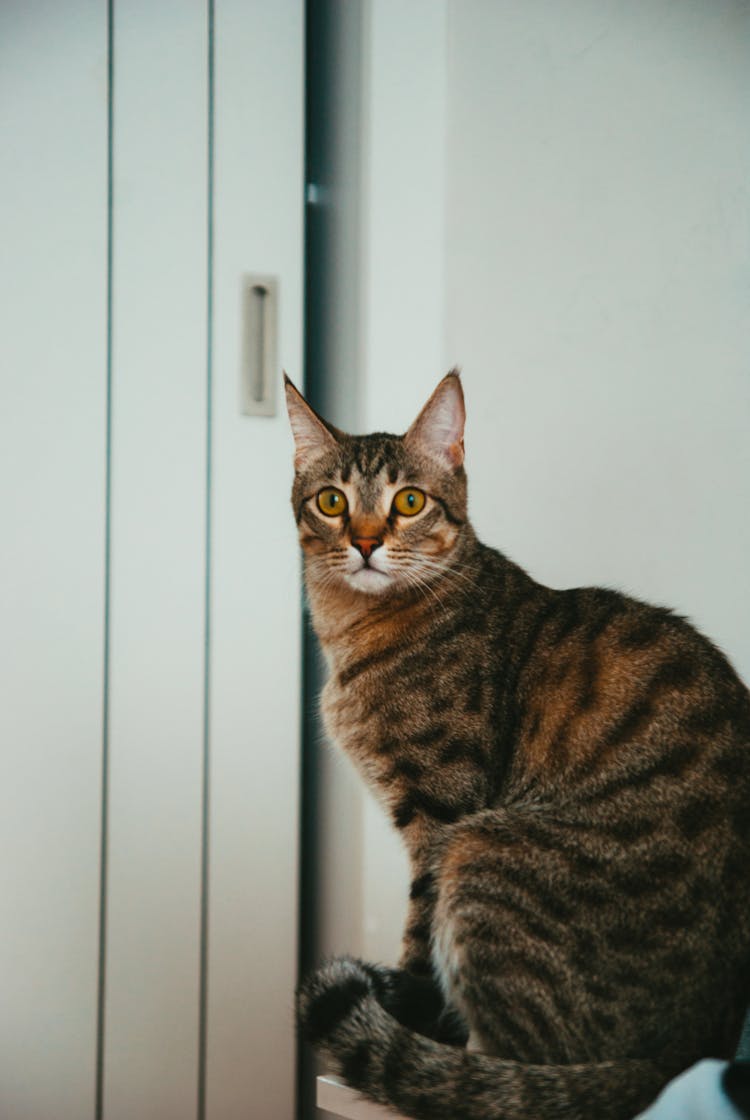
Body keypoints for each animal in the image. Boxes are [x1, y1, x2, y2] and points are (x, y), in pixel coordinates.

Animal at [286, 374, 750, 1120]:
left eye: (409, 501)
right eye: (332, 501)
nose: (364, 543)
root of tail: (683, 1057)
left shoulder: (441, 814)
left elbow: (417, 936)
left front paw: (409, 1015)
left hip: (482, 849)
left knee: (516, 1073)